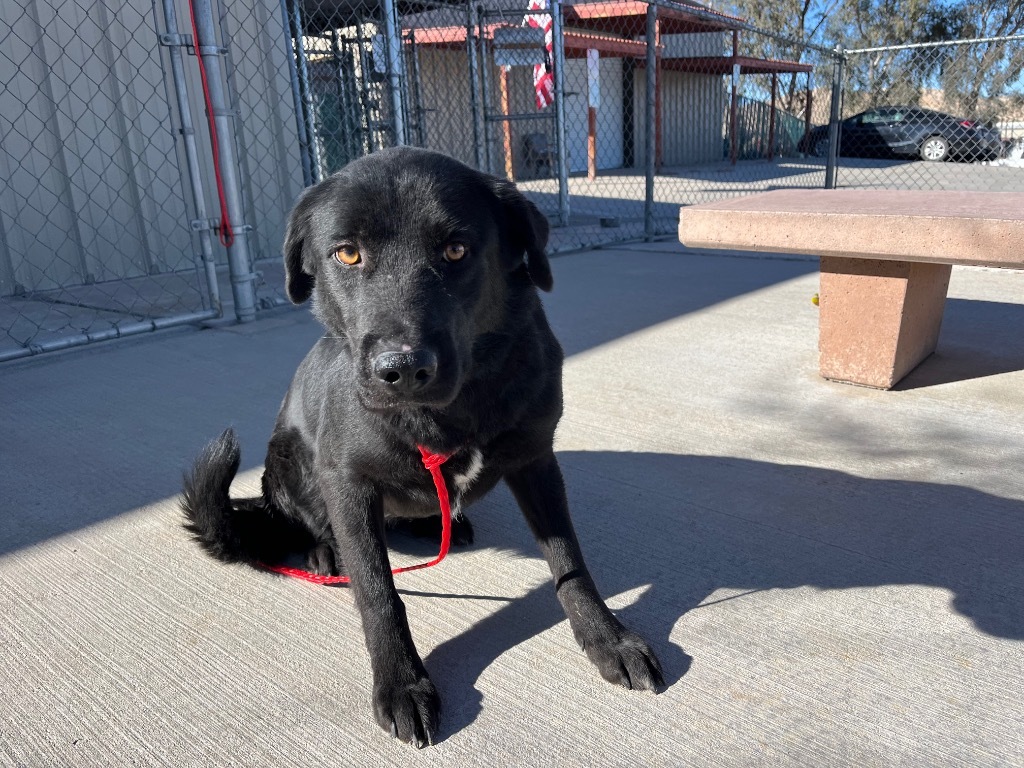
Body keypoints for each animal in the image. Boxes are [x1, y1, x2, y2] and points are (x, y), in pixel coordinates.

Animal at [182, 147, 663, 749]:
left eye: (455, 249)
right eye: (347, 252)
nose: (403, 369)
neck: (448, 413)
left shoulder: (536, 459)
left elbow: (571, 564)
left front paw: (607, 637)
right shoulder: (349, 483)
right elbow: (378, 592)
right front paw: (402, 682)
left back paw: (440, 523)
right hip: (290, 458)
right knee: (314, 524)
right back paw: (327, 550)